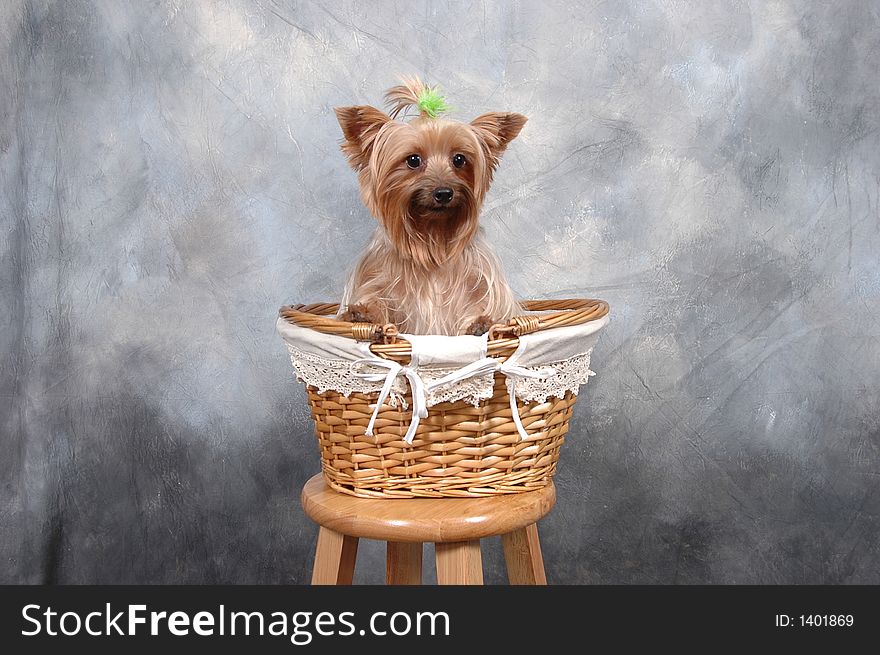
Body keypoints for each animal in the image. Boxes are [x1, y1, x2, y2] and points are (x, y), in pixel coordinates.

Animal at [332, 78, 524, 338]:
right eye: (413, 160)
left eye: (459, 159)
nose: (443, 193)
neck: (432, 236)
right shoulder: (377, 279)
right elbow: (377, 300)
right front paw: (363, 314)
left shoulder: (482, 282)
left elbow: (483, 306)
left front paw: (483, 322)